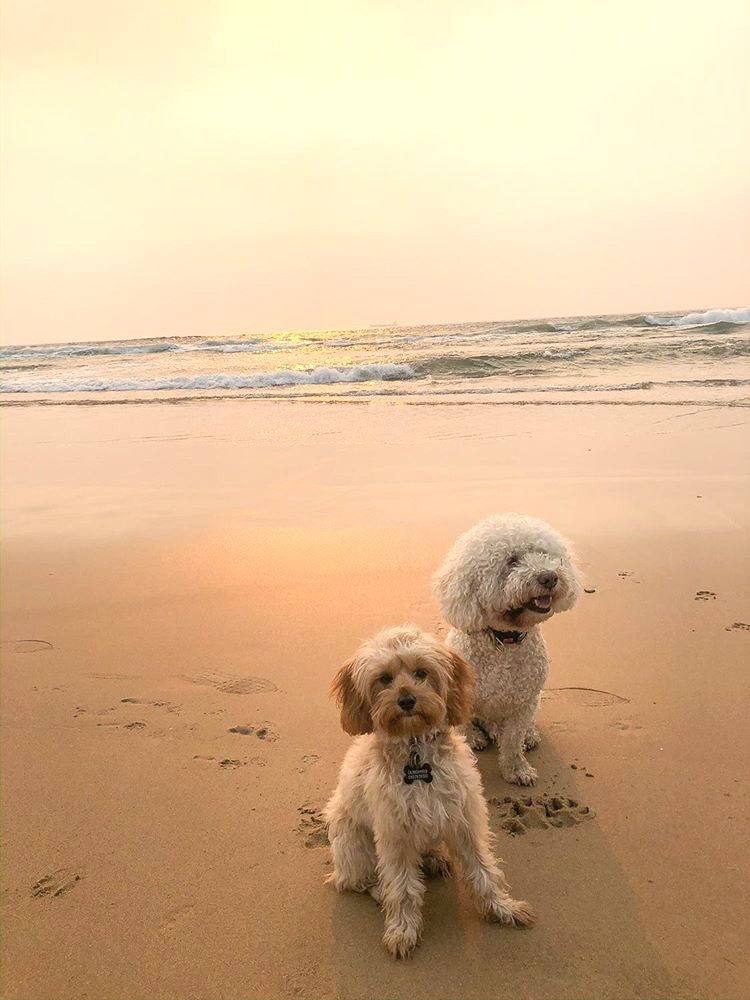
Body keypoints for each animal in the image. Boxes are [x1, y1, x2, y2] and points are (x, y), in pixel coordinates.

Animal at [432, 516, 584, 788]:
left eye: (544, 554)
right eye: (512, 561)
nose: (549, 577)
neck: (505, 641)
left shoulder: (523, 704)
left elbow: (513, 742)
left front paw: (517, 770)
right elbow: (464, 730)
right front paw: (470, 744)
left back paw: (529, 735)